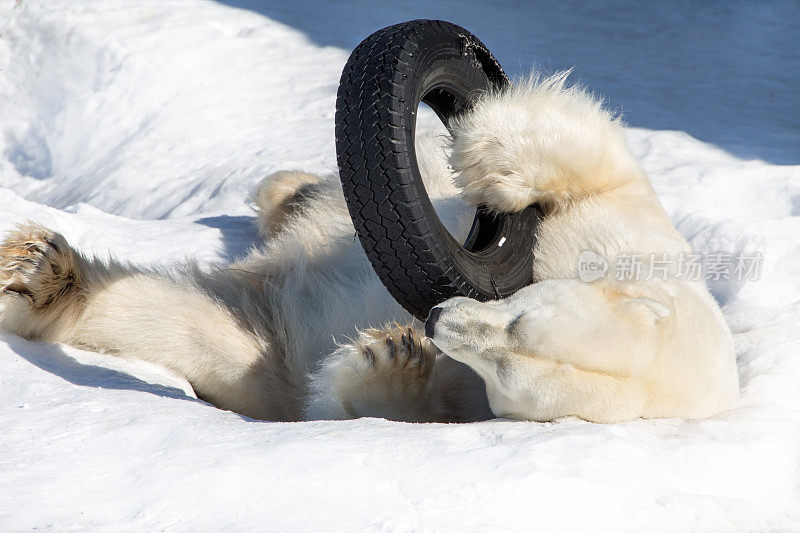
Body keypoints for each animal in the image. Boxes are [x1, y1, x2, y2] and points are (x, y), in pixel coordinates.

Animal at [0, 76, 736, 424]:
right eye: (524, 311)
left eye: (508, 374)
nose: (437, 319)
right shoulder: (628, 238)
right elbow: (596, 162)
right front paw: (487, 153)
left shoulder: (467, 403)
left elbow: (359, 403)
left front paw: (391, 358)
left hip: (264, 334)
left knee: (206, 330)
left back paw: (43, 280)